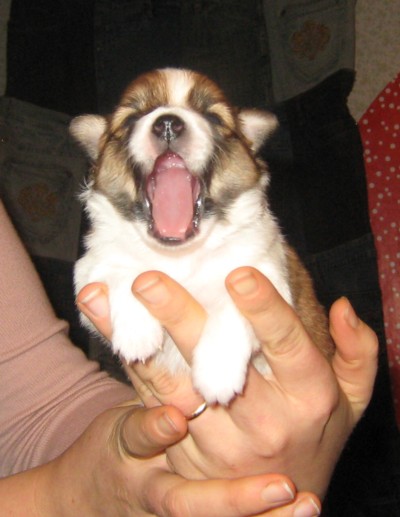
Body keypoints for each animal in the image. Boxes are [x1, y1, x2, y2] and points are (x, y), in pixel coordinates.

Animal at [71, 68, 333, 405]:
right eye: (132, 119)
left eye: (213, 117)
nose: (168, 122)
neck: (180, 255)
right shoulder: (90, 271)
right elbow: (125, 271)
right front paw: (136, 333)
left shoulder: (261, 276)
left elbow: (231, 307)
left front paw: (217, 374)